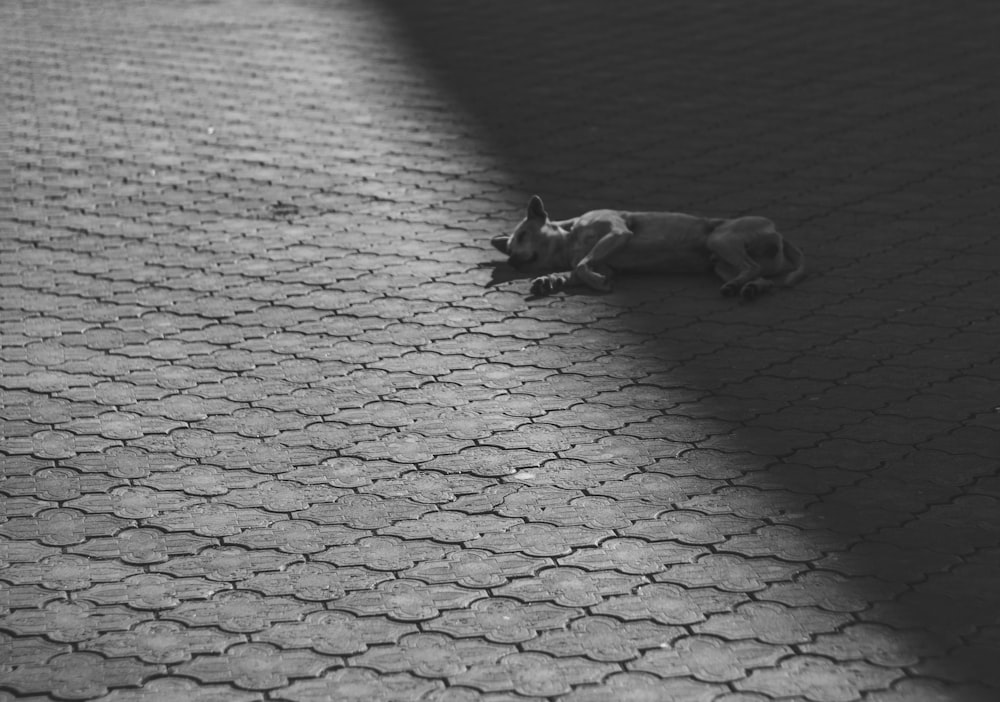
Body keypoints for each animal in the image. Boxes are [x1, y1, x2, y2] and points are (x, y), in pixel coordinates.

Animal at [492, 195, 804, 300]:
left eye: (522, 236)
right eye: (508, 249)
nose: (512, 262)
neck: (570, 238)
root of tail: (777, 231)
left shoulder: (618, 231)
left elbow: (581, 266)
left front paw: (595, 282)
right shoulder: (605, 263)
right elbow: (578, 270)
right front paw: (549, 280)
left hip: (720, 239)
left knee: (752, 267)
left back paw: (743, 286)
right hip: (721, 263)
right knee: (761, 276)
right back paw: (748, 288)